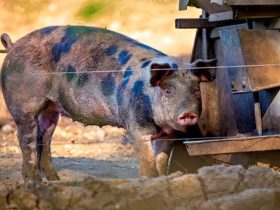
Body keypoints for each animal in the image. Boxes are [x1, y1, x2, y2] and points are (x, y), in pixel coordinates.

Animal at [0, 25, 215, 180]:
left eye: (196, 90)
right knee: (26, 141)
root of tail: (12, 46)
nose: (188, 114)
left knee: (44, 139)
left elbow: (161, 163)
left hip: (50, 110)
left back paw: (54, 181)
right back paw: (36, 182)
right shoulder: (136, 128)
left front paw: (163, 178)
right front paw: (149, 180)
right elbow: (148, 164)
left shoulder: (169, 135)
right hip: (23, 107)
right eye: (168, 90)